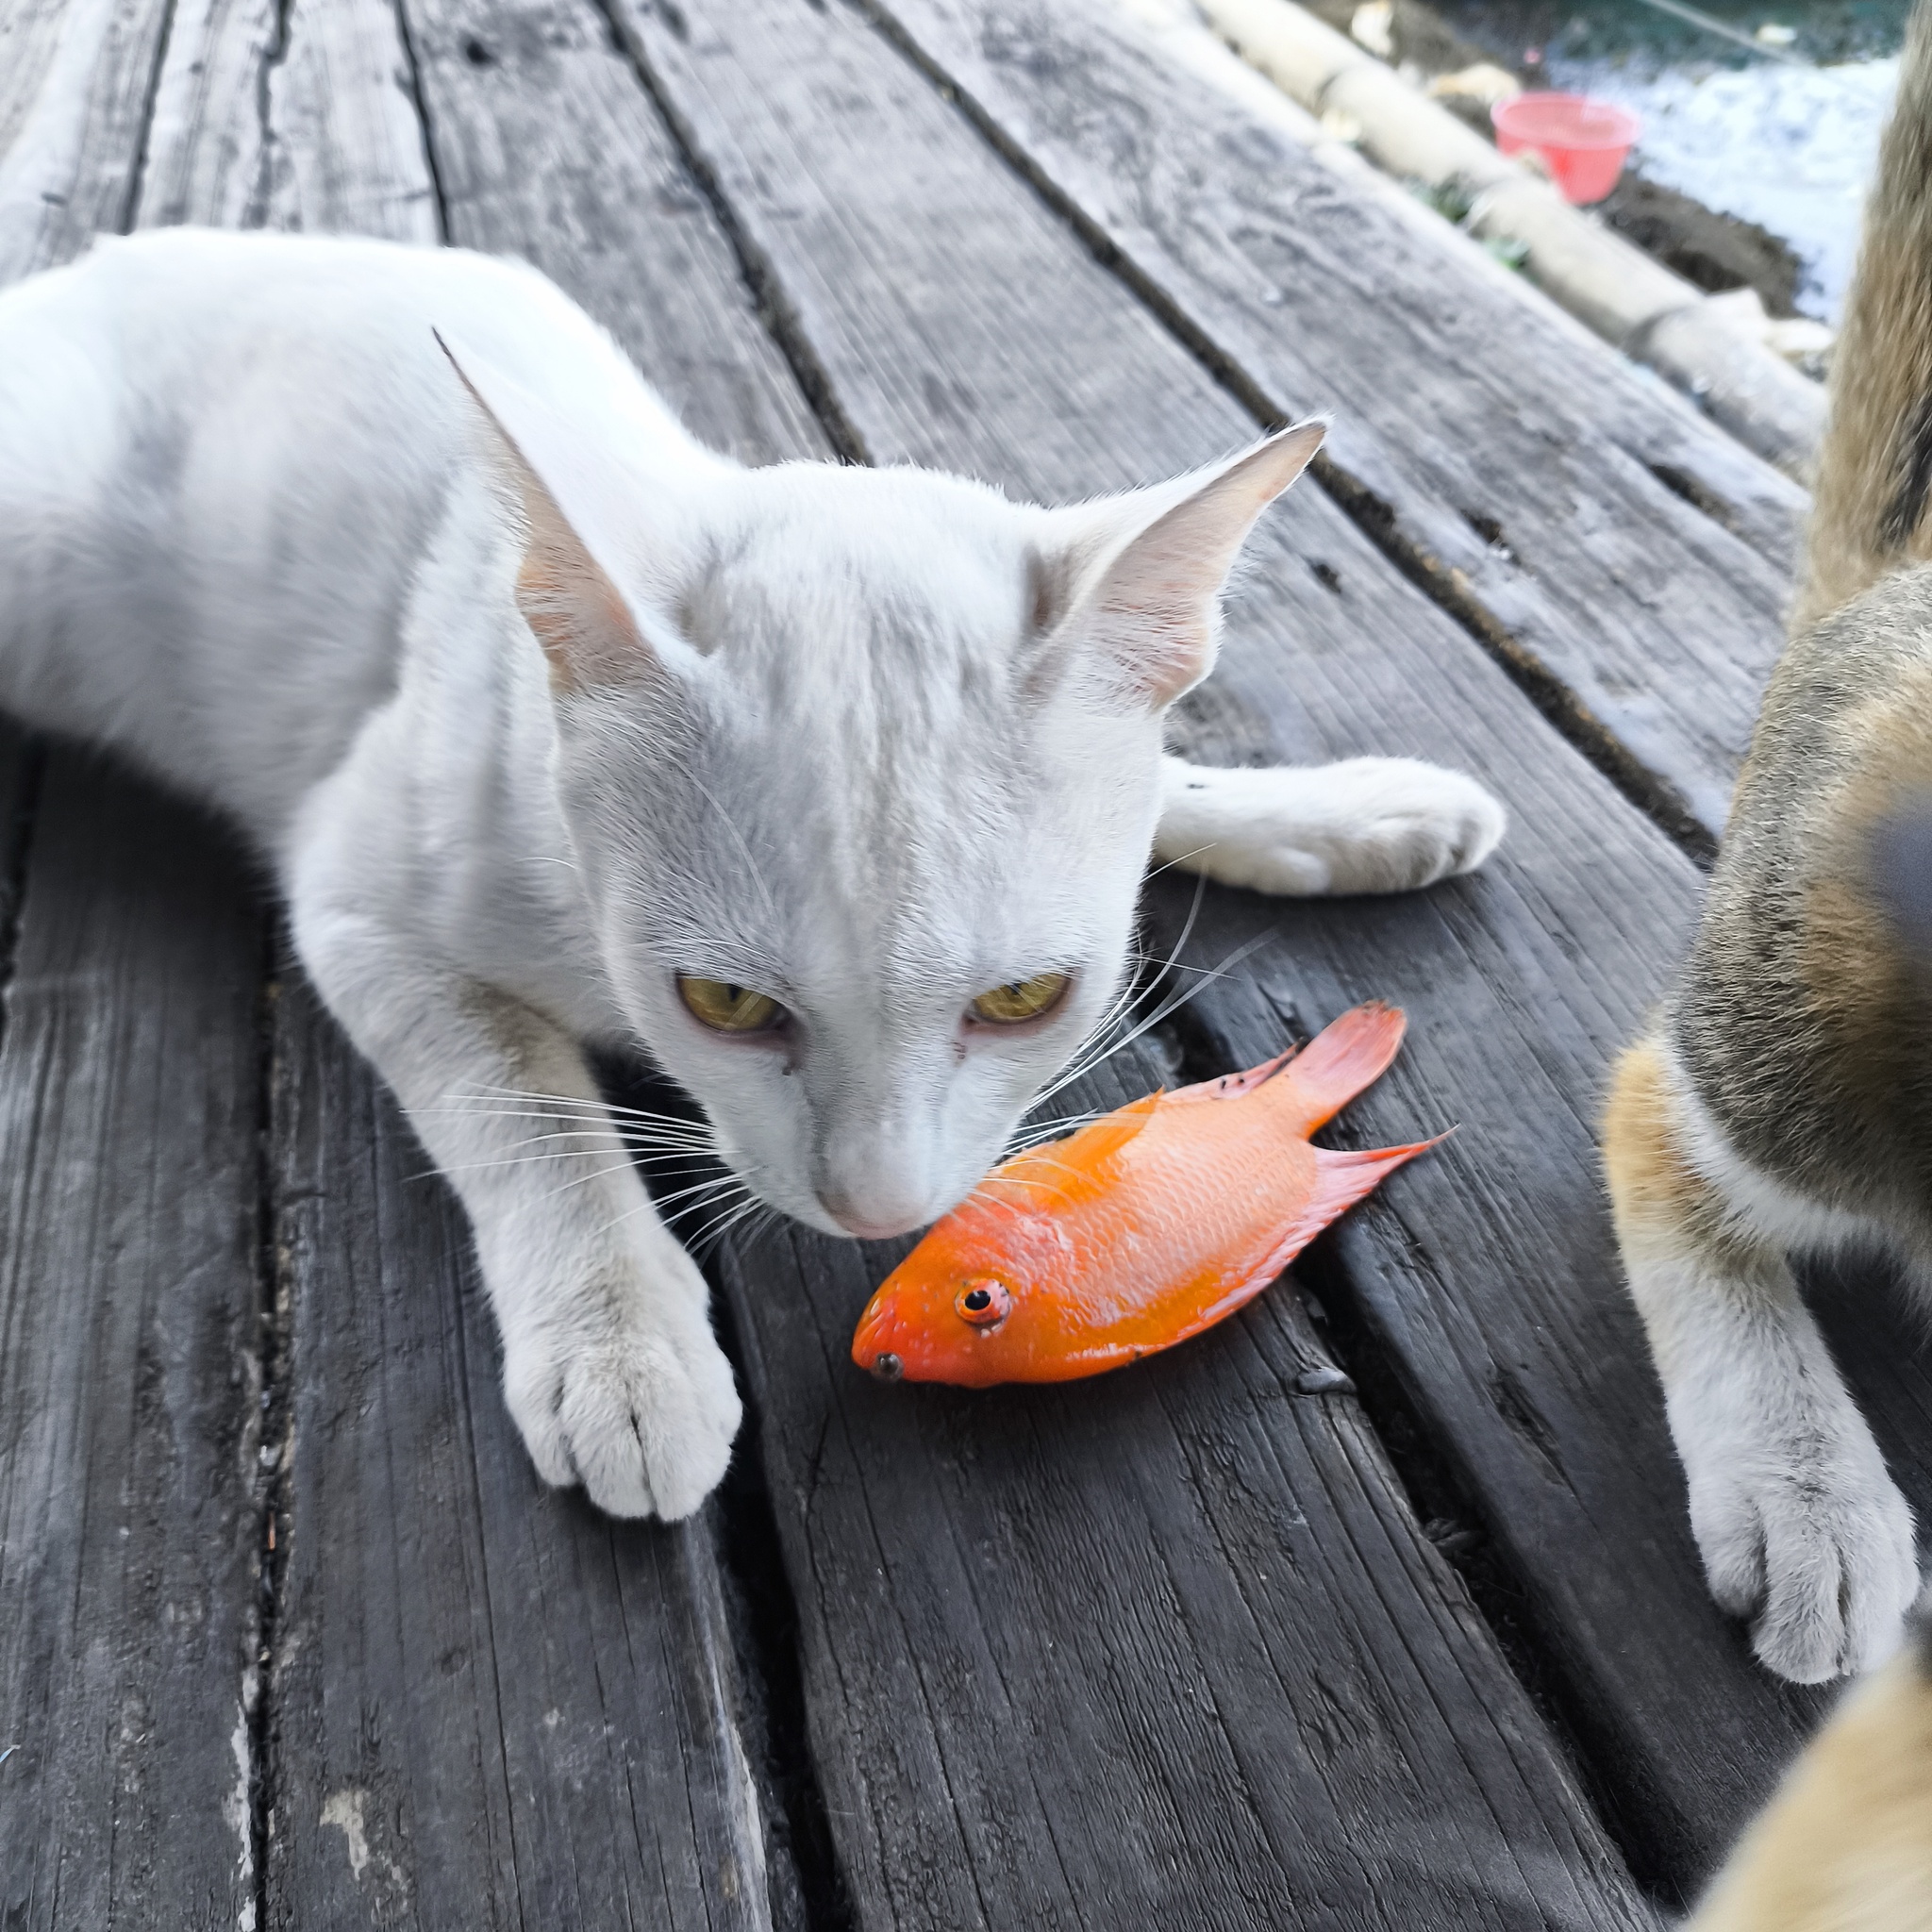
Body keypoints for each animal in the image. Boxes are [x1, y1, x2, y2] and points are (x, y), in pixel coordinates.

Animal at [0, 225, 1507, 1514]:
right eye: (724, 1006)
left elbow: (1174, 785)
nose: (879, 1210)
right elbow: (523, 1106)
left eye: (1023, 1000)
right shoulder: (357, 902)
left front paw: (1341, 809)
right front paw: (620, 1343)